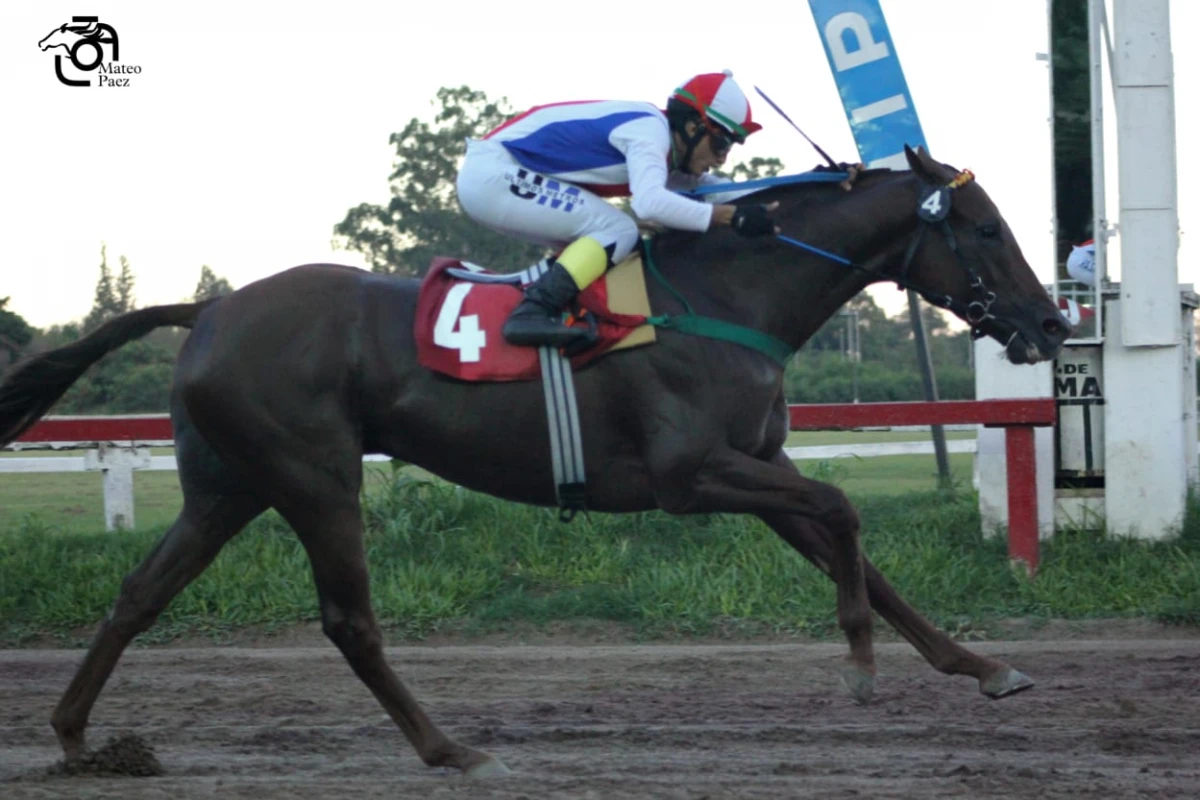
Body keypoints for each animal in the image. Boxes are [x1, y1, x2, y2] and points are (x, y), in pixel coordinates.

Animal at [0, 143, 1070, 777]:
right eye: (985, 228)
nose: (1052, 323)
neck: (727, 292)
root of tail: (211, 307)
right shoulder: (691, 475)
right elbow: (846, 510)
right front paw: (856, 668)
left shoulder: (754, 471)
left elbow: (864, 558)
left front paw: (982, 667)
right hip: (312, 476)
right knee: (349, 620)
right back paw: (450, 749)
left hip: (227, 487)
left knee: (140, 594)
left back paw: (76, 737)